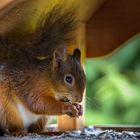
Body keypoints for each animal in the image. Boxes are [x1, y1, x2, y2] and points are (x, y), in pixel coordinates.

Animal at [0, 5, 85, 136]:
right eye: (68, 79)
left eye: (84, 77)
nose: (79, 99)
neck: (48, 79)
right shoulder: (32, 86)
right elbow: (39, 104)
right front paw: (68, 107)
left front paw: (78, 107)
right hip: (7, 110)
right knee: (12, 126)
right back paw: (18, 131)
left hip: (42, 118)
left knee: (35, 130)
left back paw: (50, 132)